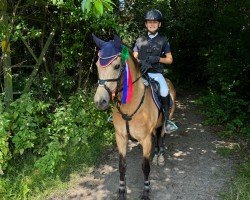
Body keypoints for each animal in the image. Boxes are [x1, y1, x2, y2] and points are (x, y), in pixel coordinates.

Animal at [92, 33, 176, 199]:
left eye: (116, 66)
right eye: (97, 66)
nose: (100, 101)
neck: (130, 105)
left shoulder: (145, 139)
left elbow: (145, 166)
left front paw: (146, 191)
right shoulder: (121, 137)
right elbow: (122, 166)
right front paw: (121, 192)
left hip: (165, 120)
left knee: (162, 137)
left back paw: (160, 156)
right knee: (157, 136)